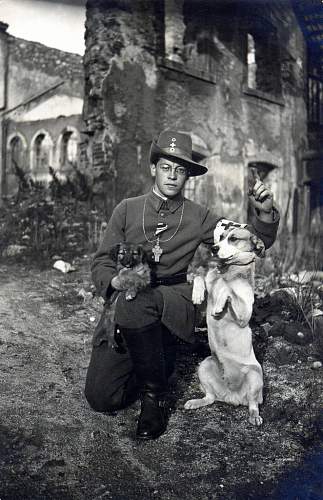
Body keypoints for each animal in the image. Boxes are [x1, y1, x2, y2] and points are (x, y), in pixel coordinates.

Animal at [187, 224, 266, 426]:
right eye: (220, 236)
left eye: (234, 238)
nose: (214, 248)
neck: (227, 270)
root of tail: (233, 397)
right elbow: (200, 277)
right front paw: (197, 293)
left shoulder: (245, 313)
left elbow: (229, 291)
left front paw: (220, 304)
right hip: (205, 365)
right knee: (210, 398)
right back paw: (195, 402)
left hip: (255, 375)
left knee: (253, 403)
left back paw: (254, 417)